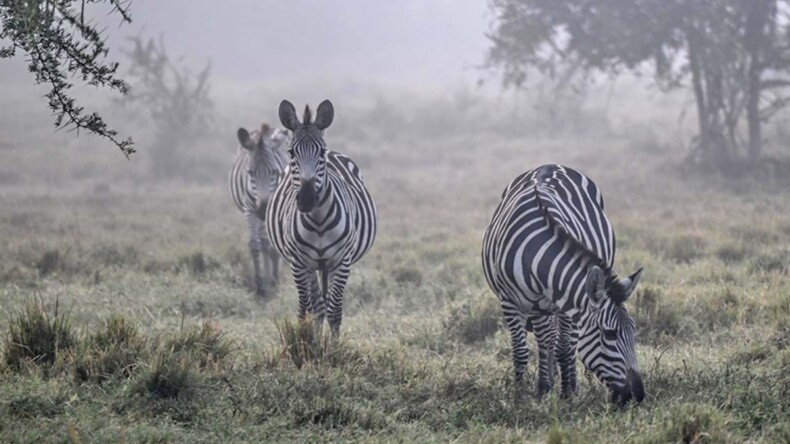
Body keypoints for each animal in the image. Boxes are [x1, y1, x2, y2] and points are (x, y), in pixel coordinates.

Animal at [229, 122, 290, 294]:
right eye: (250, 173)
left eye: (274, 171)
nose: (263, 210)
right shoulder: (250, 210)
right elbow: (255, 245)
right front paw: (259, 283)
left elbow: (275, 244)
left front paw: (275, 279)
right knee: (264, 242)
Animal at [266, 99, 378, 334]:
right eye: (291, 152)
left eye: (321, 153)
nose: (307, 199)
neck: (318, 221)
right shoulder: (298, 263)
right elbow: (305, 312)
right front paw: (309, 342)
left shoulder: (342, 262)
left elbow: (335, 313)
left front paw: (334, 345)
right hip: (312, 266)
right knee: (316, 307)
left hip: (326, 265)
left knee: (324, 306)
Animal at [482, 164, 644, 406]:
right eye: (610, 334)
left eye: (633, 330)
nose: (638, 396)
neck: (538, 254)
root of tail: (549, 165)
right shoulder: (510, 302)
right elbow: (522, 351)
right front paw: (522, 394)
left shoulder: (566, 303)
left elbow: (565, 348)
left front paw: (567, 393)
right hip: (538, 307)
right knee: (546, 339)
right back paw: (547, 382)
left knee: (562, 341)